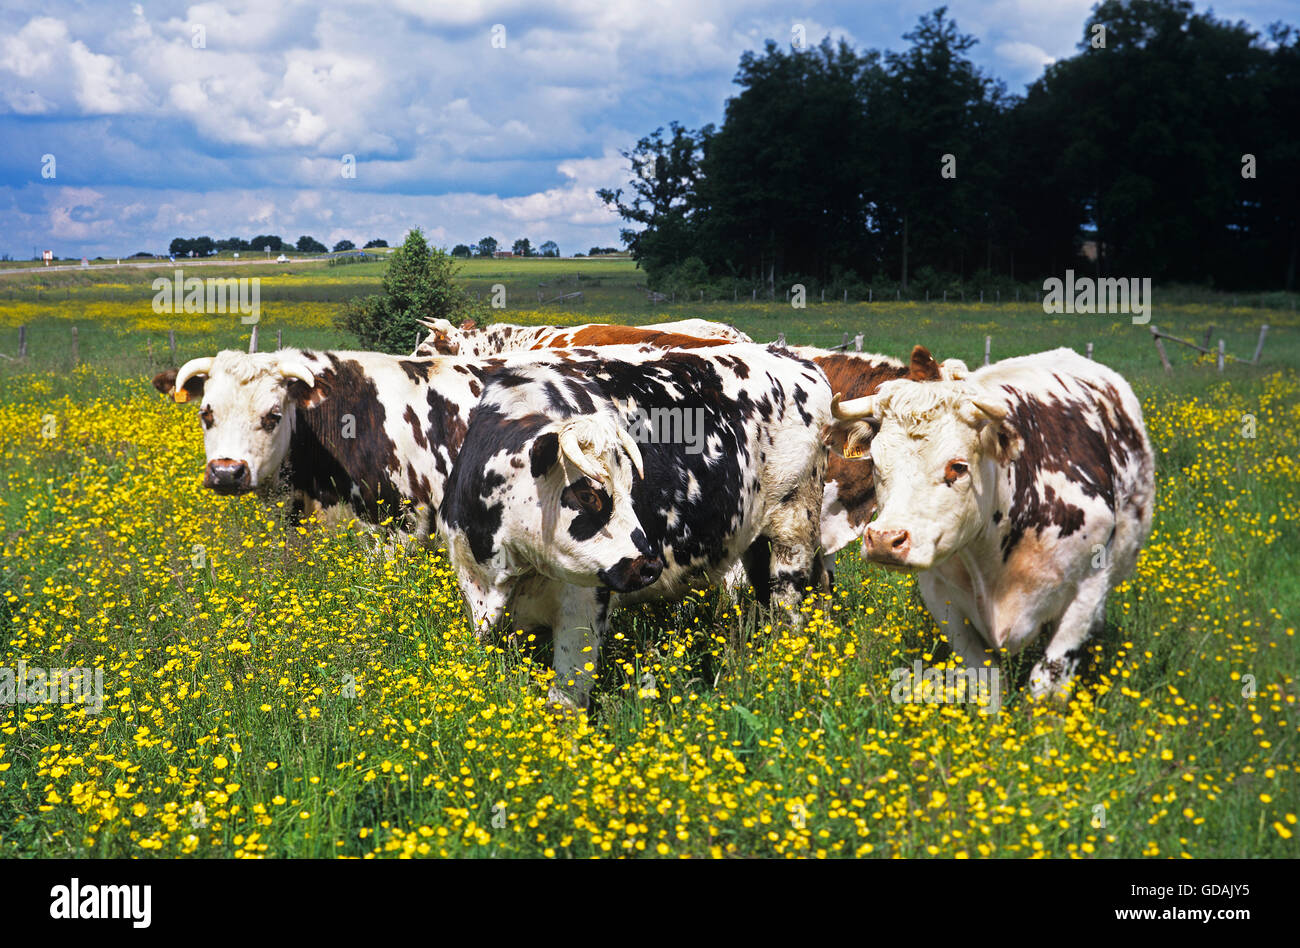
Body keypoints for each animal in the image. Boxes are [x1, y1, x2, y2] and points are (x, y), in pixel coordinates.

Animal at [437, 344, 833, 708]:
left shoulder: (584, 608)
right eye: (588, 494)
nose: (649, 566)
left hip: (794, 527)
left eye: (631, 489)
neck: (506, 570)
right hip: (757, 542)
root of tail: (794, 357)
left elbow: (565, 700)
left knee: (790, 606)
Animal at [826, 347, 1154, 698]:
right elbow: (986, 681)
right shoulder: (942, 598)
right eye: (875, 461)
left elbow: (1047, 682)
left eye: (958, 466)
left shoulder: (1087, 589)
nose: (885, 540)